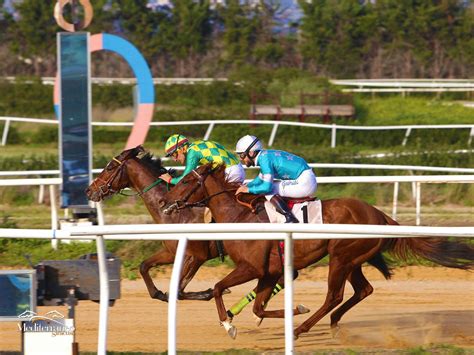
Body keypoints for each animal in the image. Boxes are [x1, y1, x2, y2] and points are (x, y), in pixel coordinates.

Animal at [162, 164, 474, 340]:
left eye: (187, 182)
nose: (165, 201)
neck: (240, 216)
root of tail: (380, 215)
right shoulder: (269, 272)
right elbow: (258, 306)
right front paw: (292, 310)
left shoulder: (252, 268)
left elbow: (217, 288)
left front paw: (229, 325)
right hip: (352, 260)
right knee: (363, 290)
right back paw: (332, 323)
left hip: (341, 257)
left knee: (334, 296)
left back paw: (302, 329)